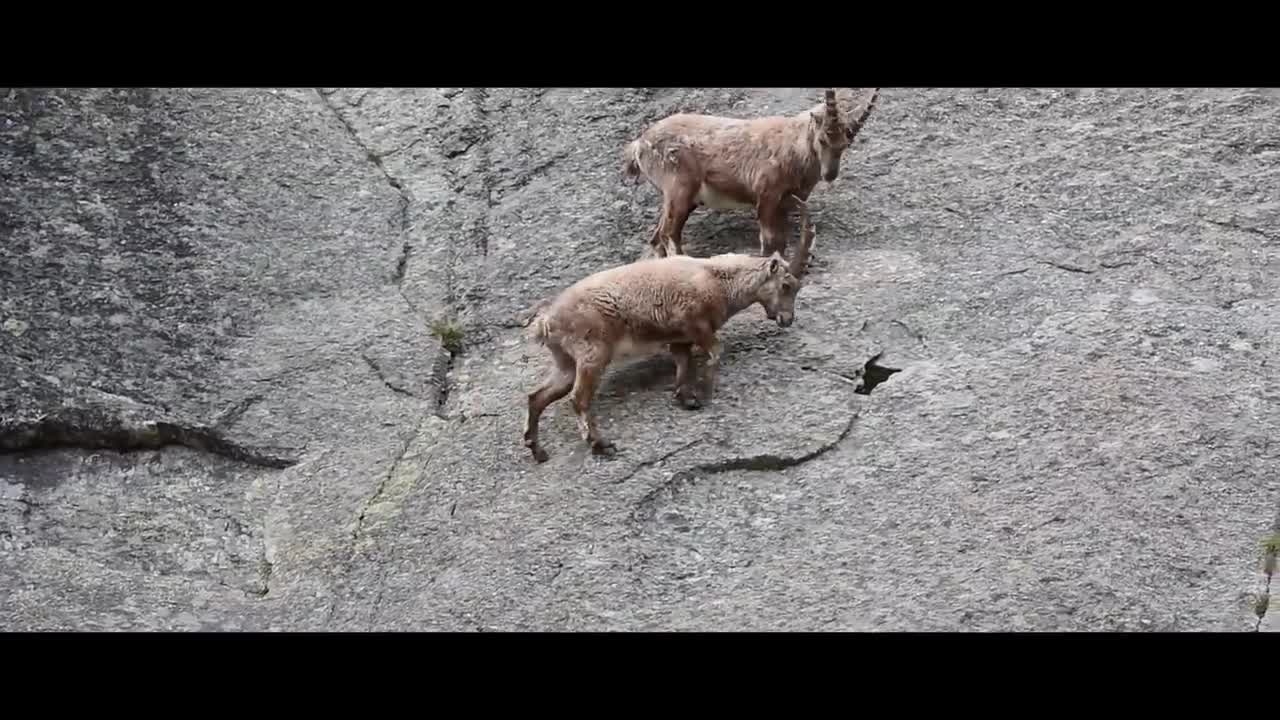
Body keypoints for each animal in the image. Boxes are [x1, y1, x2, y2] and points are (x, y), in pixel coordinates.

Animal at [522, 210, 814, 461]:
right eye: (786, 285)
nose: (787, 319)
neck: (718, 280)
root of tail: (546, 322)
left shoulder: (679, 337)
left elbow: (683, 363)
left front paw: (686, 398)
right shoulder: (697, 325)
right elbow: (715, 352)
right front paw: (705, 392)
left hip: (565, 362)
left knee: (537, 397)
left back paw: (537, 449)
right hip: (592, 353)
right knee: (578, 398)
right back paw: (599, 444)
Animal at [619, 87, 880, 257]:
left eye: (846, 144)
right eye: (823, 139)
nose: (829, 175)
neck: (794, 147)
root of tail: (639, 144)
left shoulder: (787, 203)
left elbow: (781, 241)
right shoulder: (766, 196)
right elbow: (769, 241)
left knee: (656, 238)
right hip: (679, 190)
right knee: (668, 235)